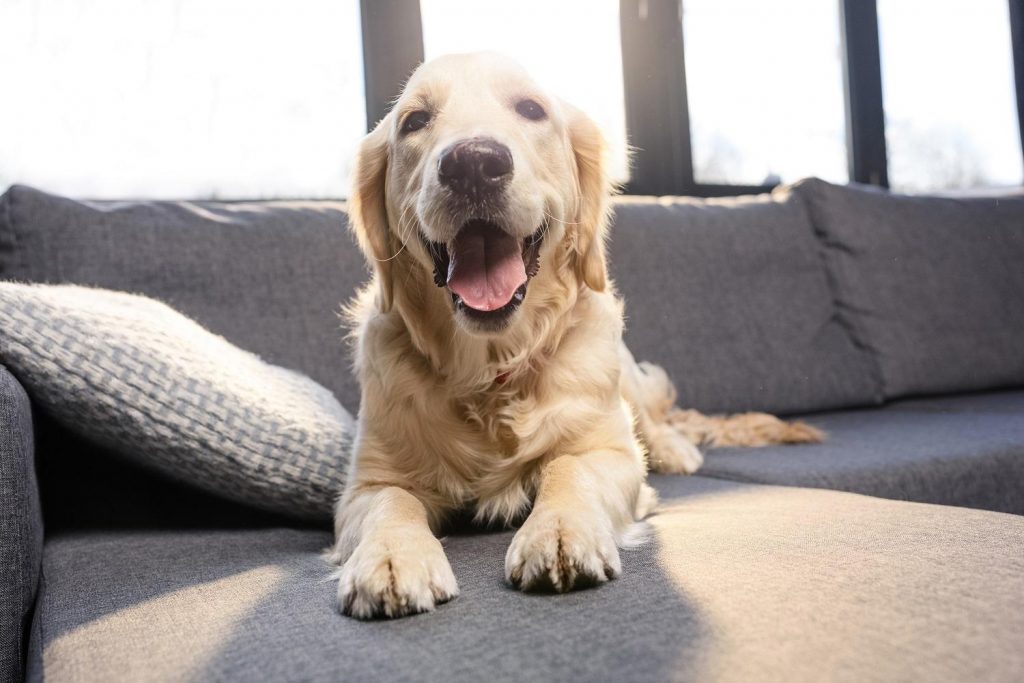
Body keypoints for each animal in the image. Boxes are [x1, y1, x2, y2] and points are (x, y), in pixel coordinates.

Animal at [327, 53, 823, 618]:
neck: (491, 371)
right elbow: (392, 500)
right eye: (414, 121)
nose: (473, 164)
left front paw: (559, 530)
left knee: (657, 421)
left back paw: (675, 449)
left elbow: (569, 466)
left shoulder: (608, 449)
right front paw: (390, 556)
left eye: (531, 109)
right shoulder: (366, 484)